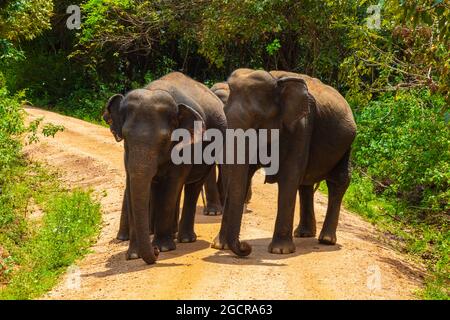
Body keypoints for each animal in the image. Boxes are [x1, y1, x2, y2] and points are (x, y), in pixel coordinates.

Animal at [213, 69, 356, 256]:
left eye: (258, 121)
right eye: (224, 114)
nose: (246, 246)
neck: (276, 82)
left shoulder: (301, 126)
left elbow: (289, 177)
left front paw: (280, 251)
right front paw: (219, 245)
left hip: (347, 144)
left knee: (338, 181)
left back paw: (326, 240)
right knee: (305, 183)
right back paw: (304, 234)